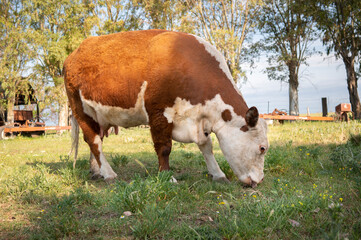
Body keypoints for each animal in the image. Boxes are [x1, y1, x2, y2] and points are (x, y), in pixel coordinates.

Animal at [64, 29, 268, 188]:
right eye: (262, 148)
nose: (259, 181)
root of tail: (74, 54)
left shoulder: (199, 120)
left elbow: (206, 146)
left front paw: (218, 174)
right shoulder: (159, 113)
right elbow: (164, 148)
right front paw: (167, 177)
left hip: (99, 115)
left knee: (97, 140)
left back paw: (96, 171)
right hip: (80, 109)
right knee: (93, 141)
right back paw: (108, 173)